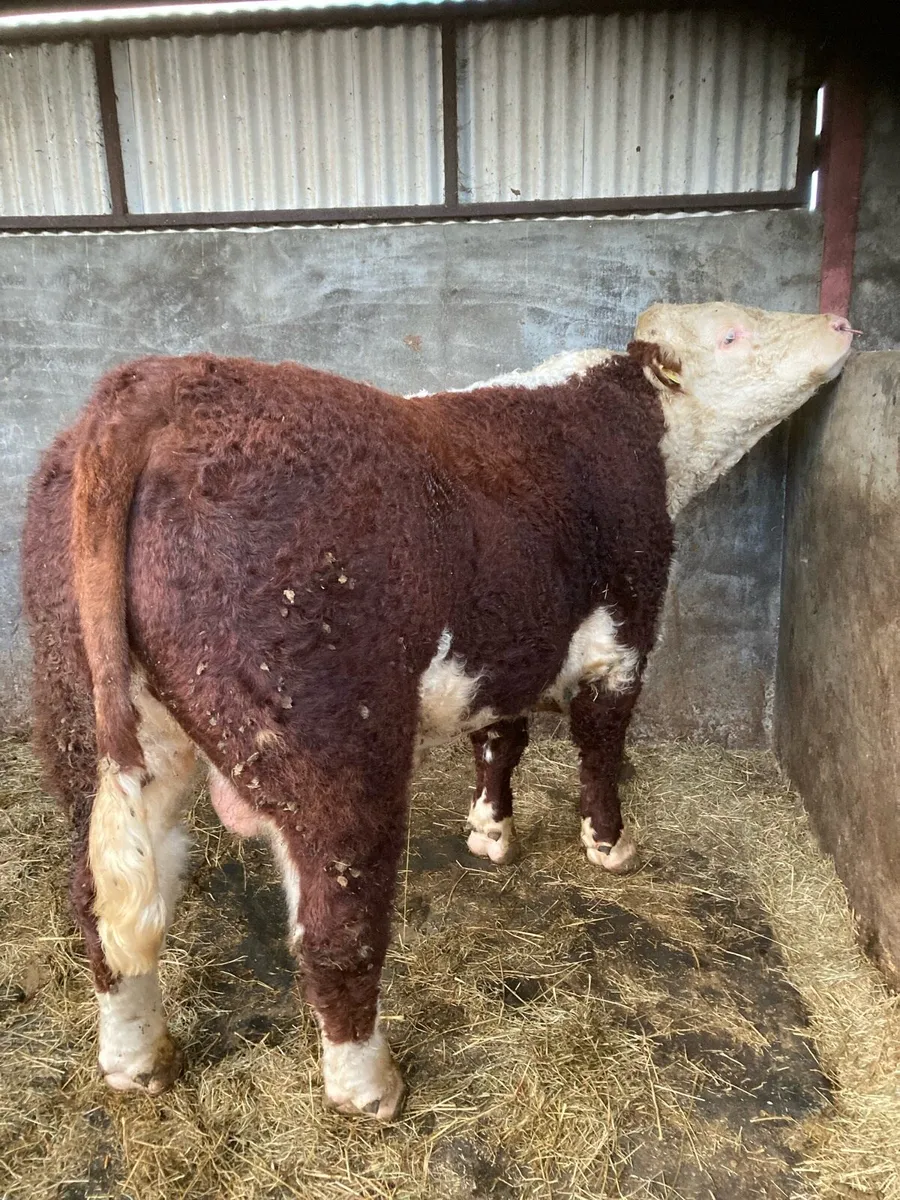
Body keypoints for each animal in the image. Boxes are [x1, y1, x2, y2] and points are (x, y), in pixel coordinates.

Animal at [21, 302, 856, 1120]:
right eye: (733, 332)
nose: (844, 322)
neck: (631, 423)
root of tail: (156, 387)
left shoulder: (506, 650)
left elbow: (501, 736)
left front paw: (490, 830)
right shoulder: (622, 638)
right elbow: (600, 747)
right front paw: (610, 843)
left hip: (93, 721)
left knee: (105, 905)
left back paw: (138, 1062)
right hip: (331, 745)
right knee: (334, 924)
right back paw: (369, 1086)